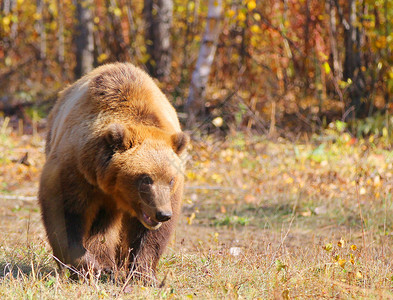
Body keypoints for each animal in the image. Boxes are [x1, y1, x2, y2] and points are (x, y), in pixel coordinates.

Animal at [38, 62, 188, 282]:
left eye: (170, 180)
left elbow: (150, 237)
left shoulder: (169, 196)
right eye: (145, 179)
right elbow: (65, 214)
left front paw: (143, 273)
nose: (162, 214)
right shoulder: (76, 170)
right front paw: (88, 266)